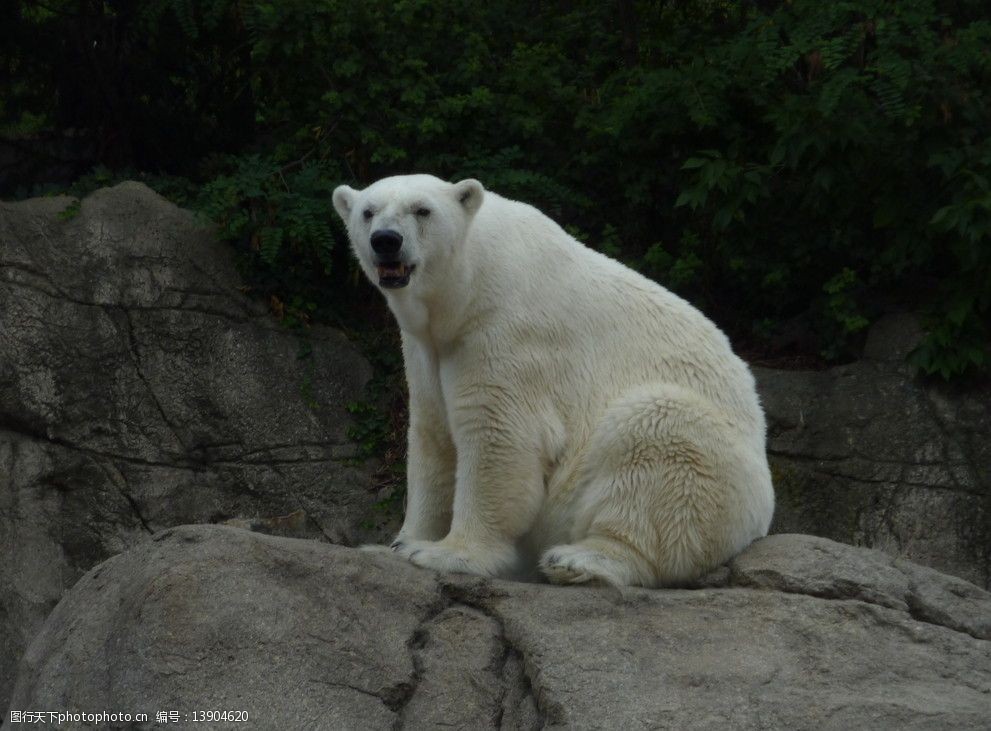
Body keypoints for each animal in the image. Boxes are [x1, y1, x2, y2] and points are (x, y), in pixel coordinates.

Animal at [334, 174, 776, 588]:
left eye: (422, 210)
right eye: (368, 212)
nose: (386, 241)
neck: (473, 280)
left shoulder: (506, 332)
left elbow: (498, 436)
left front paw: (448, 553)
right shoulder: (426, 348)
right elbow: (433, 437)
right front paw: (397, 544)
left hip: (712, 470)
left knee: (656, 431)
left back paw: (579, 560)